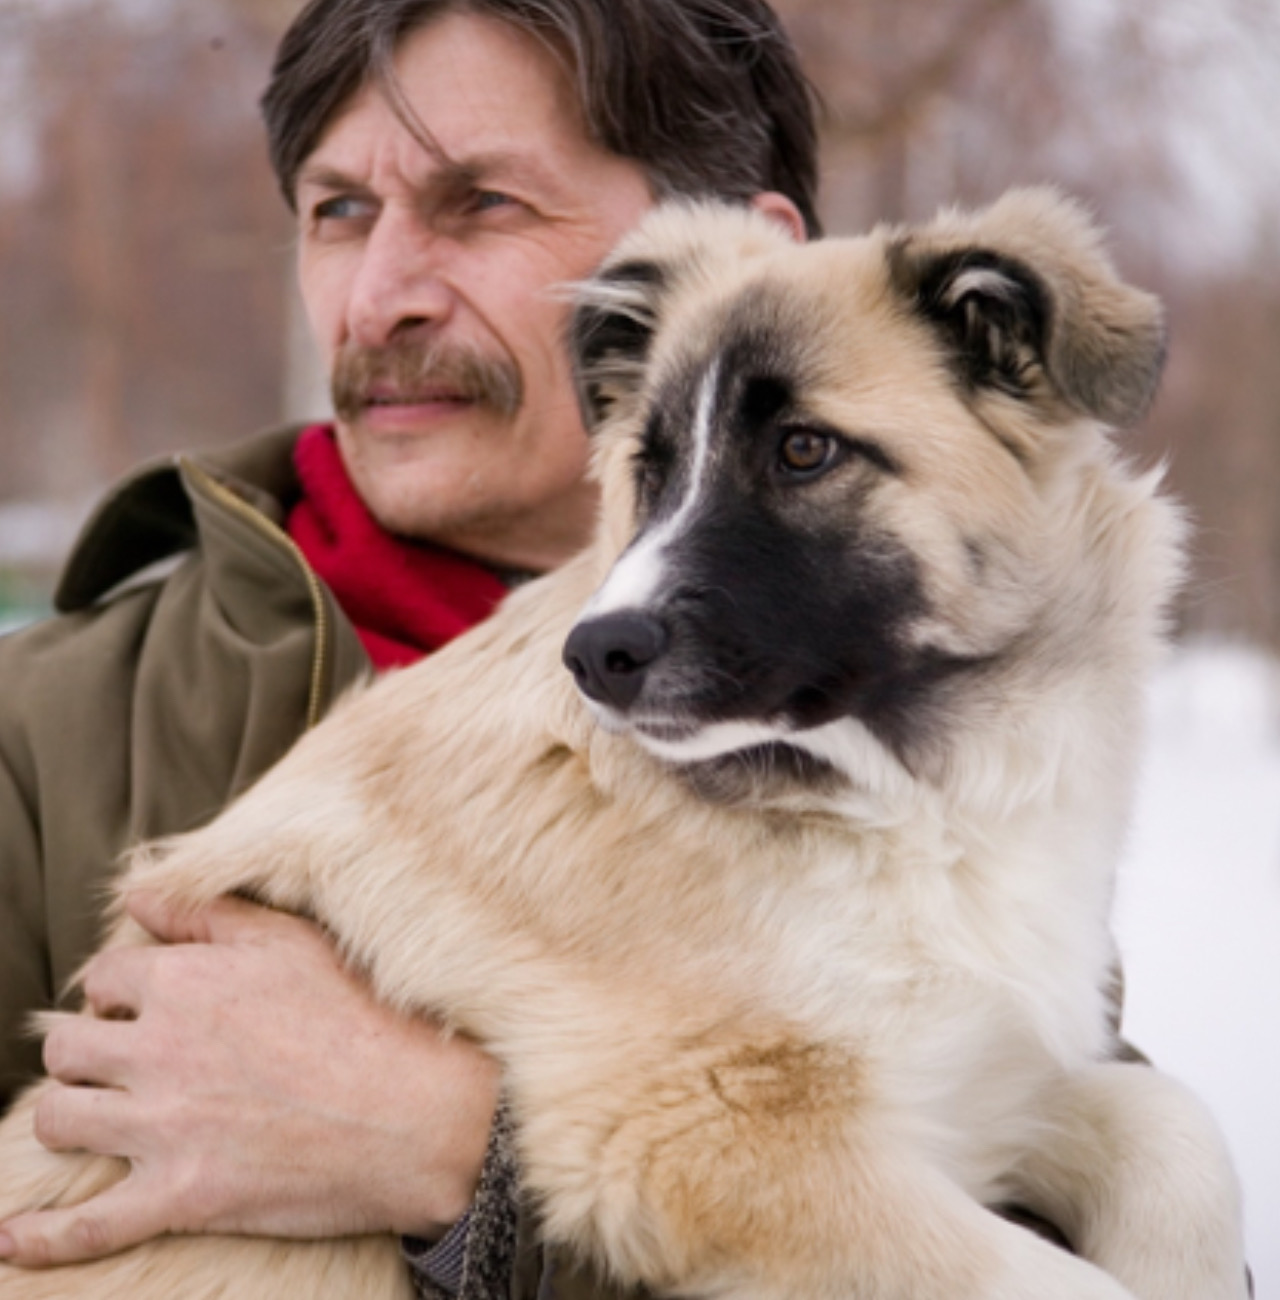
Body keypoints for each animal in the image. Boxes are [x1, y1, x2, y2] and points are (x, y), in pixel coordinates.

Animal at [0, 188, 1242, 1294]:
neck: (894, 793)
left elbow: (1177, 1134)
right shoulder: (707, 1136)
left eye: (802, 450)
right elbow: (1068, 1273)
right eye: (650, 470)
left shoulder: (973, 1073)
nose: (596, 654)